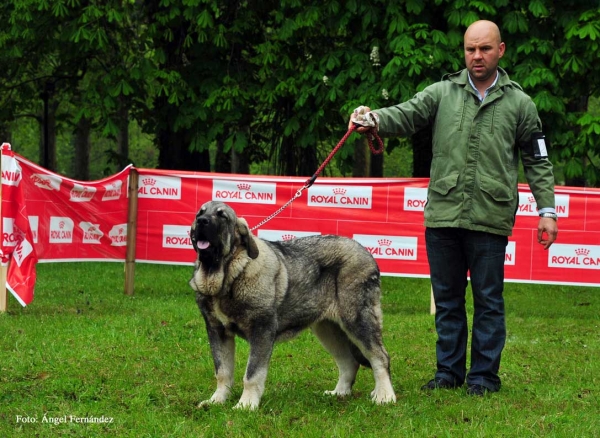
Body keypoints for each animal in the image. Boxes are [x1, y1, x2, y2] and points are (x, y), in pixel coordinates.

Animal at [188, 200, 394, 408]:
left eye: (221, 216)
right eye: (199, 214)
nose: (202, 221)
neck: (229, 274)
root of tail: (367, 253)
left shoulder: (261, 330)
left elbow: (252, 374)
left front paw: (246, 404)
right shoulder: (217, 331)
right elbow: (222, 371)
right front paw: (217, 400)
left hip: (357, 320)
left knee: (380, 357)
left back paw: (385, 396)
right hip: (328, 329)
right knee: (349, 362)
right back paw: (339, 393)